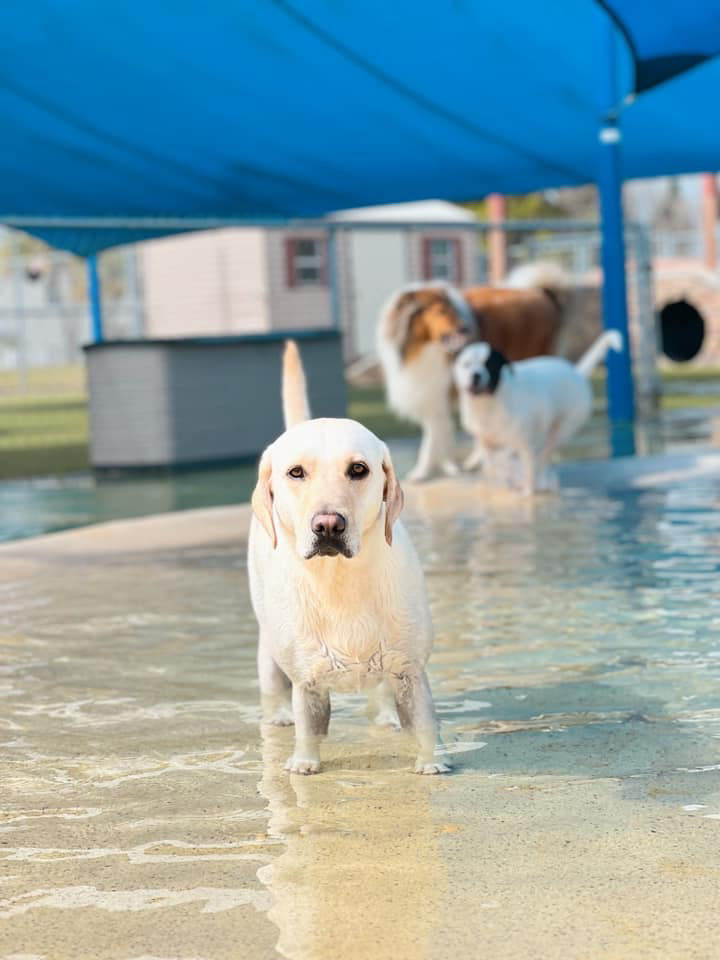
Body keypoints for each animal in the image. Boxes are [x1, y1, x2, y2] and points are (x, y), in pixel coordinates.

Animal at [248, 342, 450, 776]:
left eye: (358, 469)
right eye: (296, 472)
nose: (328, 525)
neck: (339, 580)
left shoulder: (410, 668)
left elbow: (425, 720)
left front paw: (432, 762)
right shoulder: (306, 680)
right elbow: (308, 724)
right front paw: (303, 762)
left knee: (382, 695)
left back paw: (387, 718)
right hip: (268, 647)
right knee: (273, 689)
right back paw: (277, 718)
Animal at [376, 268, 564, 480]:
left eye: (453, 310)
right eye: (441, 311)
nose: (465, 328)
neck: (423, 347)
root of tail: (539, 293)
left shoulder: (440, 390)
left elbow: (433, 439)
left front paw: (424, 472)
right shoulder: (432, 395)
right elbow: (439, 433)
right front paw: (444, 467)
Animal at [452, 330, 620, 496]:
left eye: (489, 364)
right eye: (466, 364)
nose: (476, 375)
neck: (487, 404)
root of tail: (576, 373)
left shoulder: (525, 444)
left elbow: (527, 471)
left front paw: (527, 491)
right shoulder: (486, 442)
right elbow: (497, 466)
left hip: (559, 431)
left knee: (543, 459)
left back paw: (541, 481)